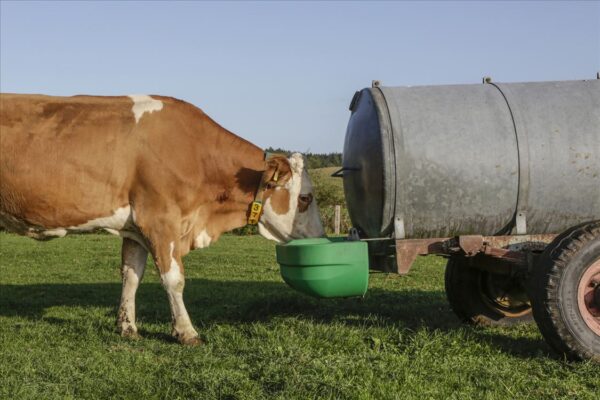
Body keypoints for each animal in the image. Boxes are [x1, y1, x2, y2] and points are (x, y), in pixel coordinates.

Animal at [0, 94, 326, 344]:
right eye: (305, 198)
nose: (320, 239)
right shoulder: (159, 220)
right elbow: (174, 279)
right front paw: (186, 332)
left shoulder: (134, 227)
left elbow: (131, 275)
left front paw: (128, 327)